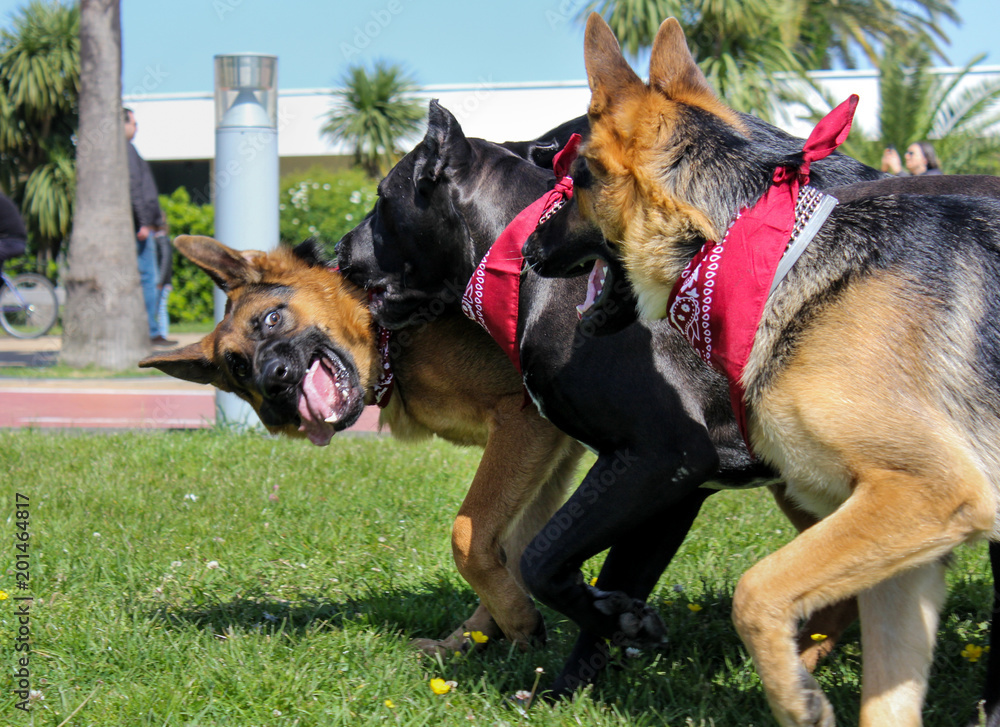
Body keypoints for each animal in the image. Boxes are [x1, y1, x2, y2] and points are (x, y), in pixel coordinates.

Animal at [556, 11, 1000, 724]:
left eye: (578, 177)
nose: (529, 250)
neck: (767, 250)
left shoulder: (929, 491)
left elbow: (756, 591)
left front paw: (796, 699)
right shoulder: (905, 554)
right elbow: (887, 700)